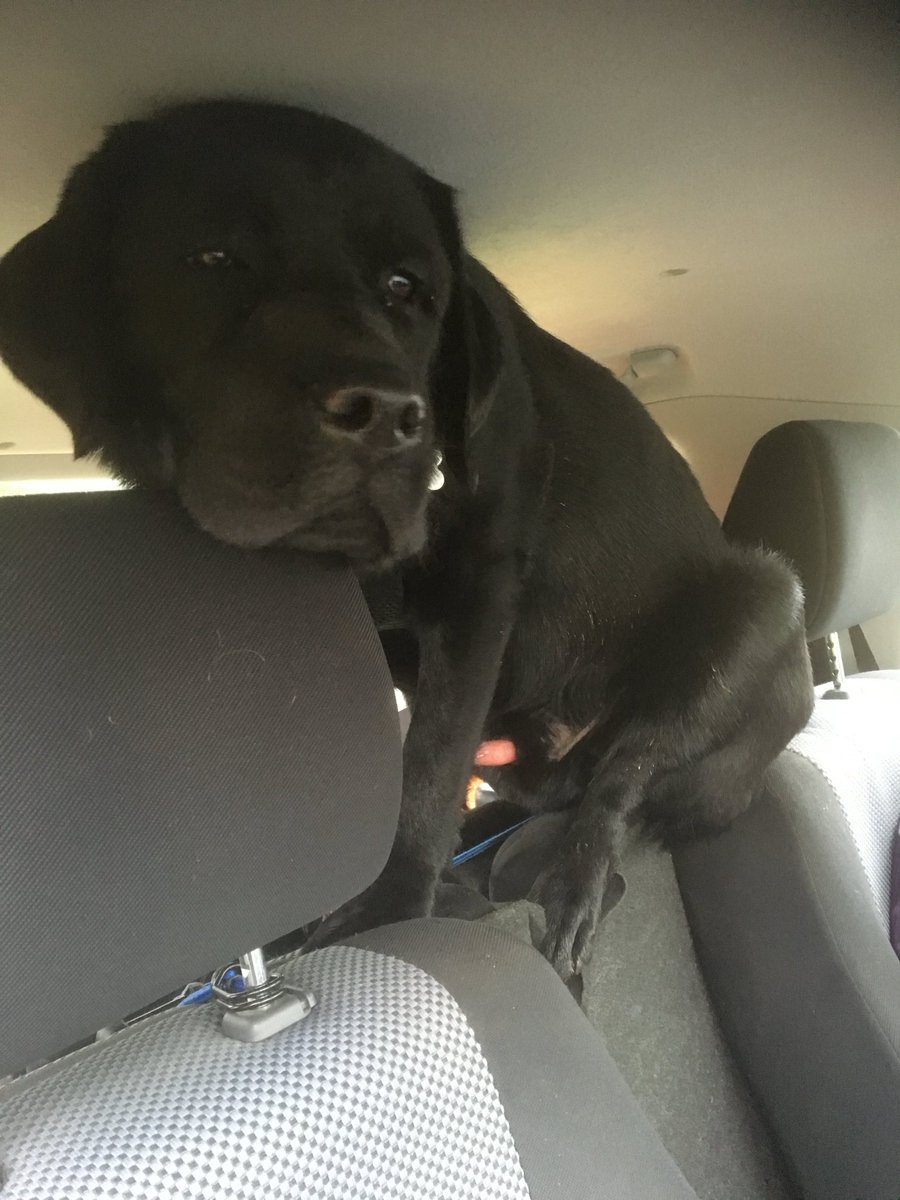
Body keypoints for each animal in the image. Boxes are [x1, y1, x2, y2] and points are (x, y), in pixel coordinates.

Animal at [0, 100, 816, 974]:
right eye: (214, 256)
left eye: (407, 288)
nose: (386, 413)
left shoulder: (477, 590)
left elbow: (427, 760)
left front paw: (392, 900)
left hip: (757, 610)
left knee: (619, 783)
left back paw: (574, 888)